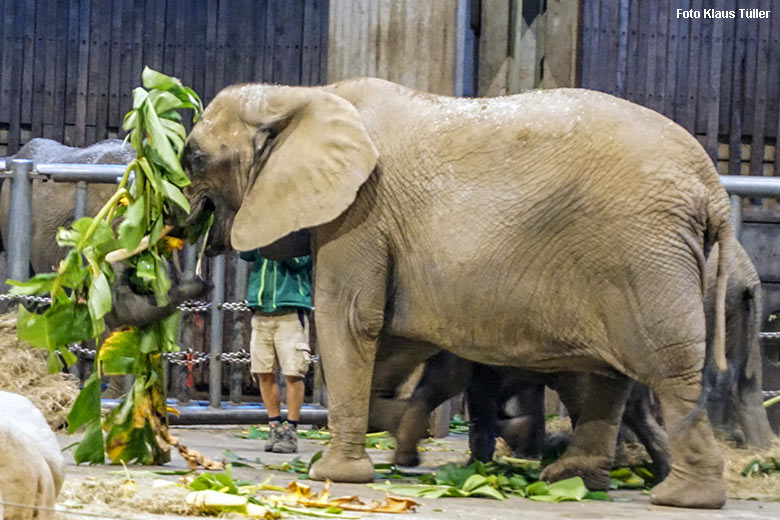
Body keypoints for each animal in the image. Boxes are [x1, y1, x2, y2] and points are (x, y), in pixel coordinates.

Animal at [180, 78, 736, 508]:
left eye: (193, 159)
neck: (300, 96)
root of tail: (713, 189)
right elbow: (388, 341)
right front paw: (397, 434)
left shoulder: (362, 213)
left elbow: (349, 321)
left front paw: (333, 475)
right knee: (609, 376)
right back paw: (572, 478)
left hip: (642, 255)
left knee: (667, 365)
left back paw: (682, 497)